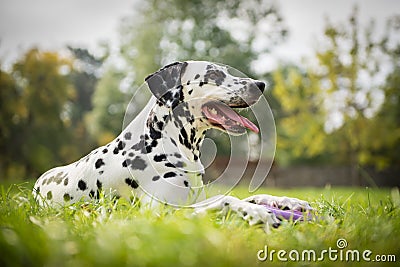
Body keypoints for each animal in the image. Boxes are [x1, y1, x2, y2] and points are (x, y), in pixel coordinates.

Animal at [32, 61, 310, 229]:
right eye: (214, 75)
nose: (260, 85)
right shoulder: (164, 212)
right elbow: (226, 199)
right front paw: (258, 213)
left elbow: (249, 195)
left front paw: (287, 201)